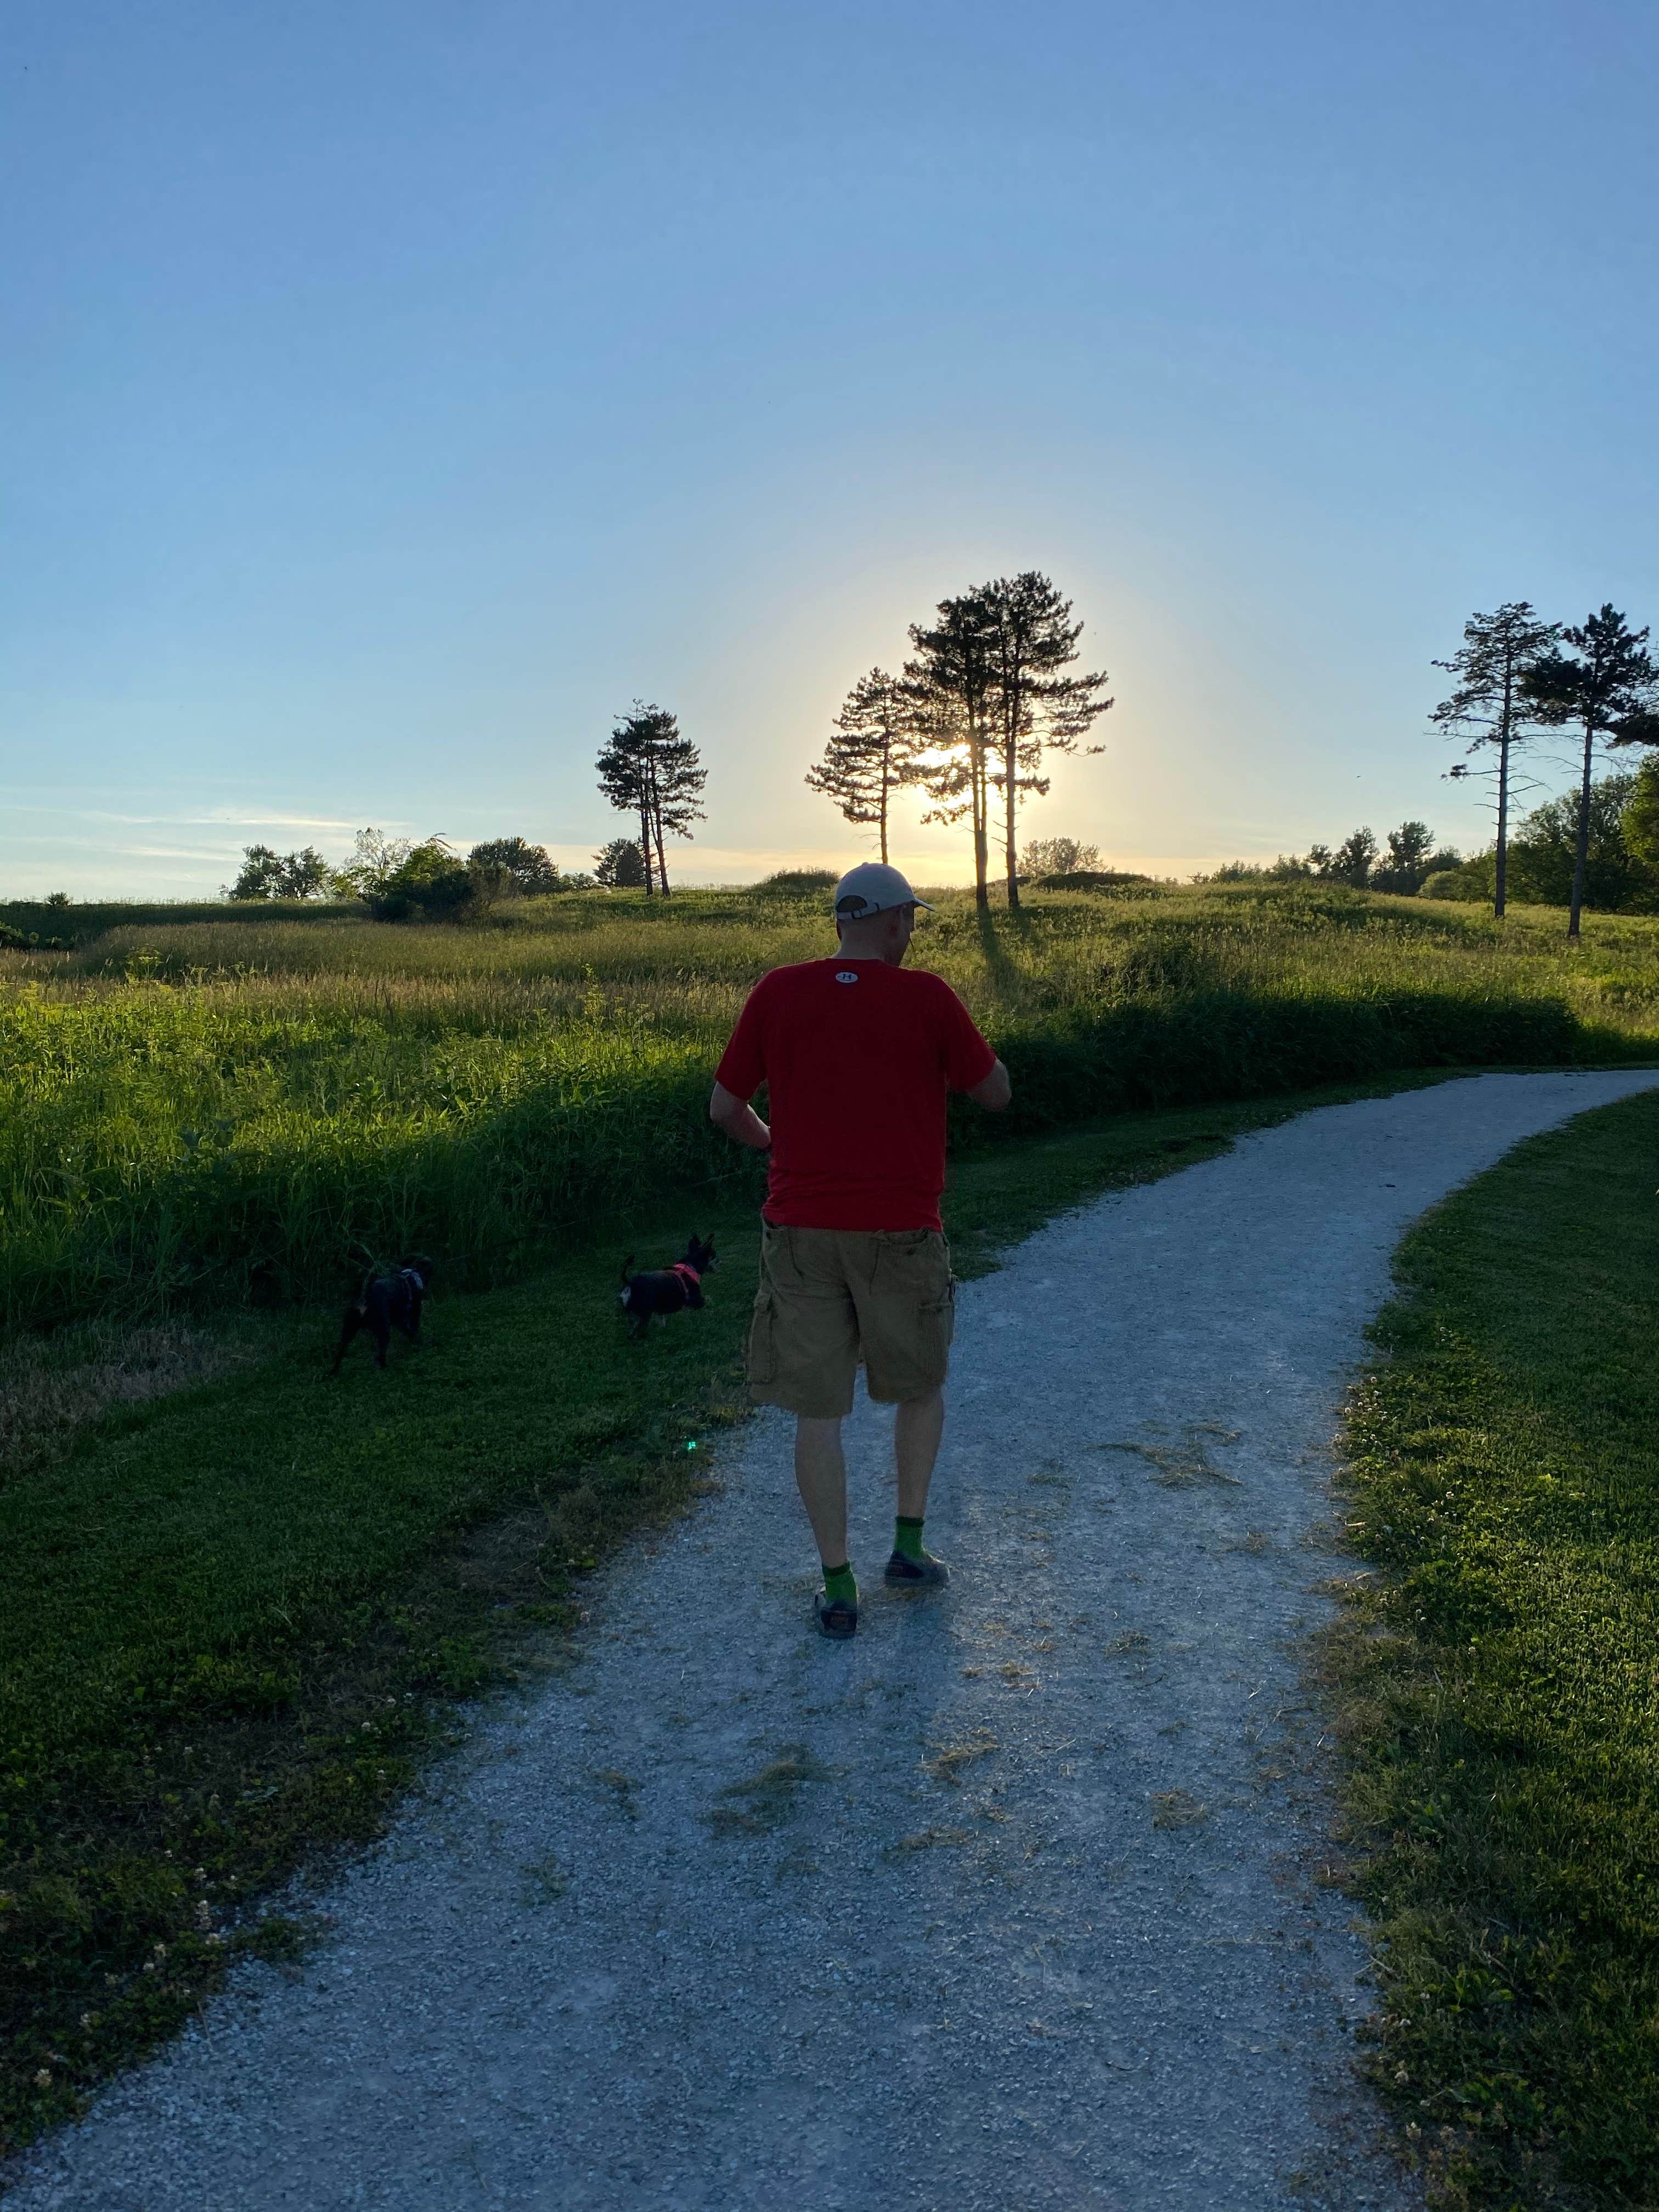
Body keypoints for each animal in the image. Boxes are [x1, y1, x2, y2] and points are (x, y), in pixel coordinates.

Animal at [329, 1256, 431, 1371]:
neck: (411, 1275)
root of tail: (366, 1301)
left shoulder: (399, 1320)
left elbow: (407, 1330)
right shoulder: (413, 1312)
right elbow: (413, 1329)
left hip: (349, 1330)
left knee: (340, 1352)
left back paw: (334, 1371)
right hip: (384, 1331)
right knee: (381, 1353)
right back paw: (385, 1367)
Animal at [619, 1238, 716, 1336]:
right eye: (712, 1254)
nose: (717, 1257)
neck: (690, 1266)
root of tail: (630, 1284)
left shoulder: (662, 1309)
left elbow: (662, 1320)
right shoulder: (696, 1301)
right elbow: (706, 1301)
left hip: (633, 1315)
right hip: (644, 1314)